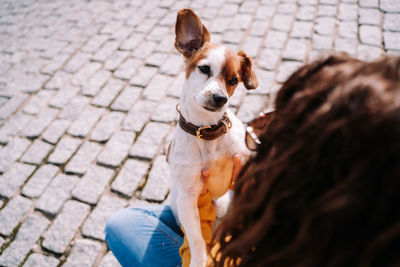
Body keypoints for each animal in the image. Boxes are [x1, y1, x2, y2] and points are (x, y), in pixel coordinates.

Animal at [166, 8, 258, 267]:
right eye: (204, 69)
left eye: (234, 80)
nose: (220, 98)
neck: (207, 133)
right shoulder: (188, 198)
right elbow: (197, 239)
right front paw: (199, 260)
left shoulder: (245, 163)